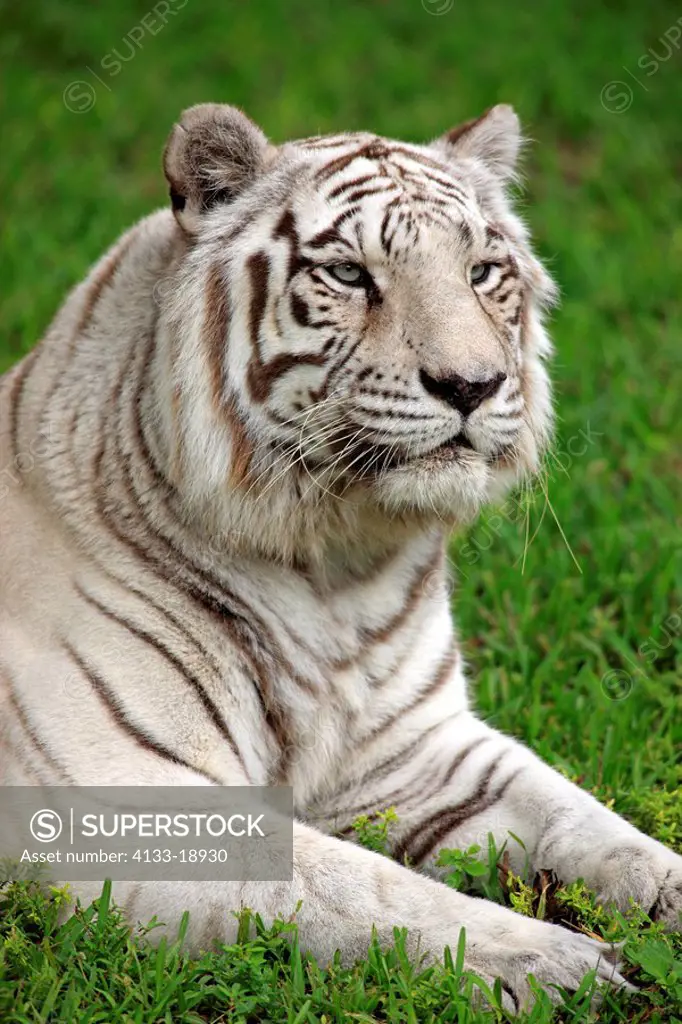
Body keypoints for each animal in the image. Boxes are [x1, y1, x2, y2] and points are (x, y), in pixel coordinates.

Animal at [0, 99, 675, 1011]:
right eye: (351, 275)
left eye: (482, 272)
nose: (473, 384)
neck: (337, 568)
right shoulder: (133, 800)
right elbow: (366, 888)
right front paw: (557, 963)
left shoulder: (420, 754)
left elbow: (590, 823)